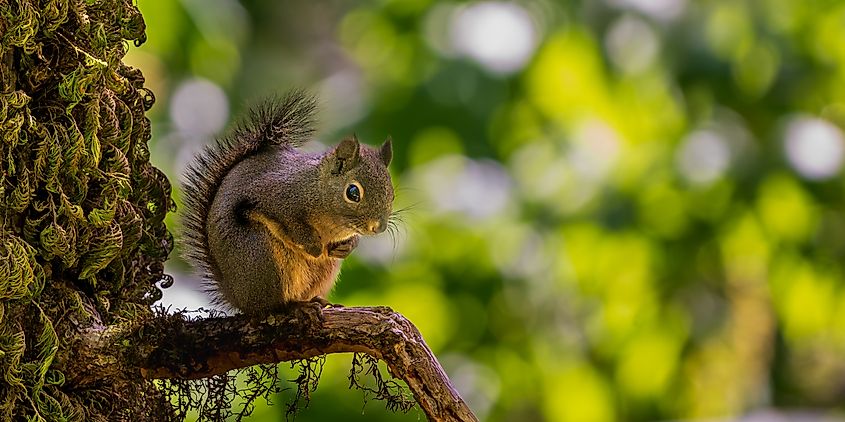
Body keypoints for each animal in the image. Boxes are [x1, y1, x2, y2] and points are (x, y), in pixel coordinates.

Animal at [181, 91, 394, 316]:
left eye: (392, 193)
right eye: (353, 193)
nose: (379, 227)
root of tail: (237, 298)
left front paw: (348, 246)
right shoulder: (273, 195)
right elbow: (290, 224)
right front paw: (314, 247)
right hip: (262, 257)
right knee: (271, 305)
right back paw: (294, 305)